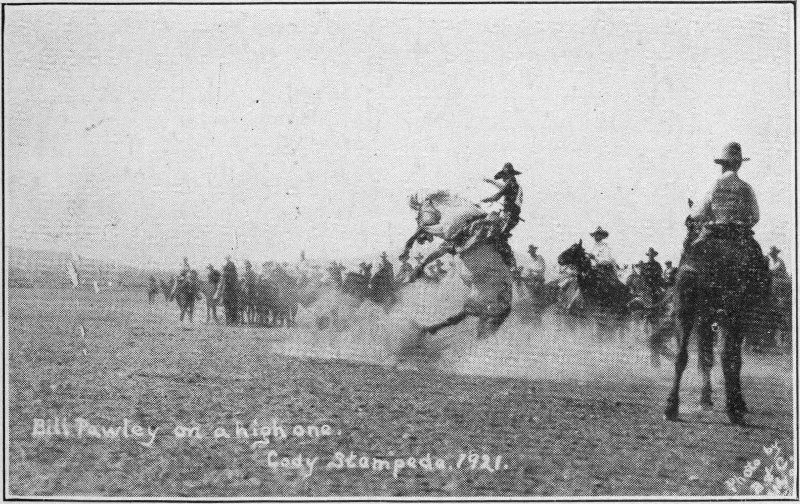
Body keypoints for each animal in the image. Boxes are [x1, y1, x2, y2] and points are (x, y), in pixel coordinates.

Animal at [663, 223, 770, 425]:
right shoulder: (738, 318)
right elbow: (733, 358)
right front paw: (737, 403)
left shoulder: (705, 319)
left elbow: (706, 357)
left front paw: (706, 400)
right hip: (730, 316)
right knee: (727, 356)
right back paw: (733, 411)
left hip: (685, 312)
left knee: (681, 355)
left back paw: (671, 407)